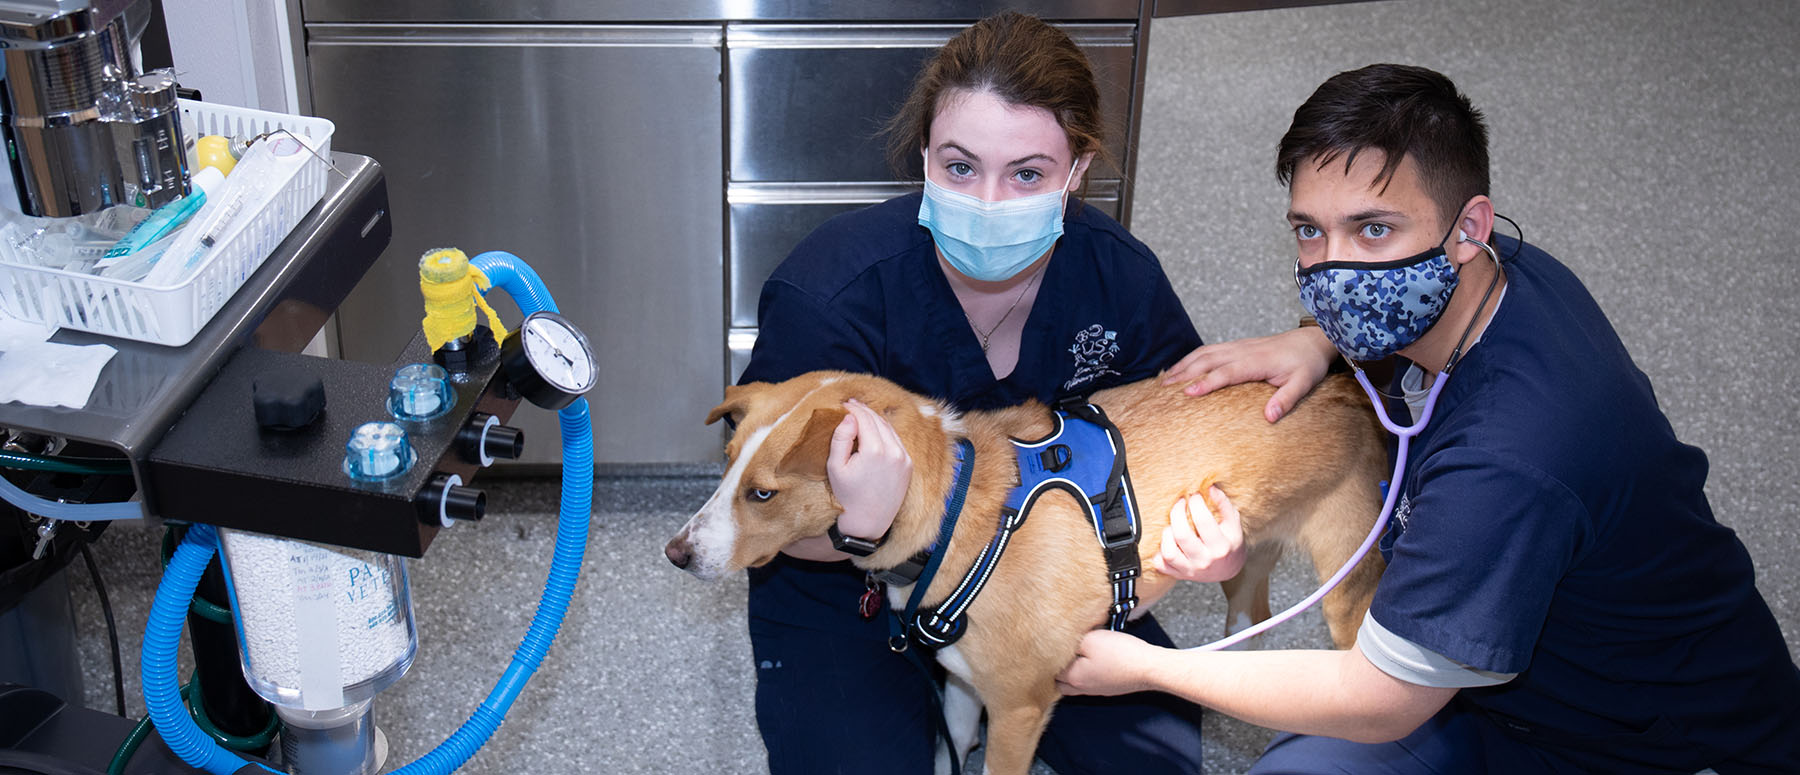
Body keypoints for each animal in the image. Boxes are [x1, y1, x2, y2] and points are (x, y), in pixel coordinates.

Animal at [669, 372, 1382, 775]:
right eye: (726, 464)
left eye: (762, 494)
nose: (676, 553)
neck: (957, 518)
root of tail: (1348, 383)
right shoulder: (961, 688)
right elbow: (949, 753)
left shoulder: (1018, 710)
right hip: (1251, 559)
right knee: (1253, 620)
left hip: (1351, 593)